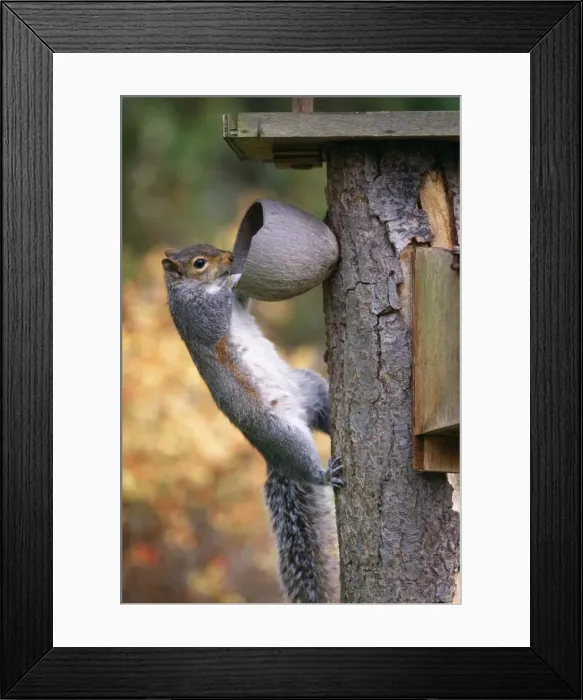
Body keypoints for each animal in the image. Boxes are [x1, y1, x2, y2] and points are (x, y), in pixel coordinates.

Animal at [162, 243, 344, 603]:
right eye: (199, 263)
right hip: (283, 434)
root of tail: (272, 457)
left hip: (312, 389)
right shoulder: (197, 317)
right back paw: (325, 474)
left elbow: (243, 302)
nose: (231, 256)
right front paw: (233, 278)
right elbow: (216, 313)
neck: (195, 288)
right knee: (307, 467)